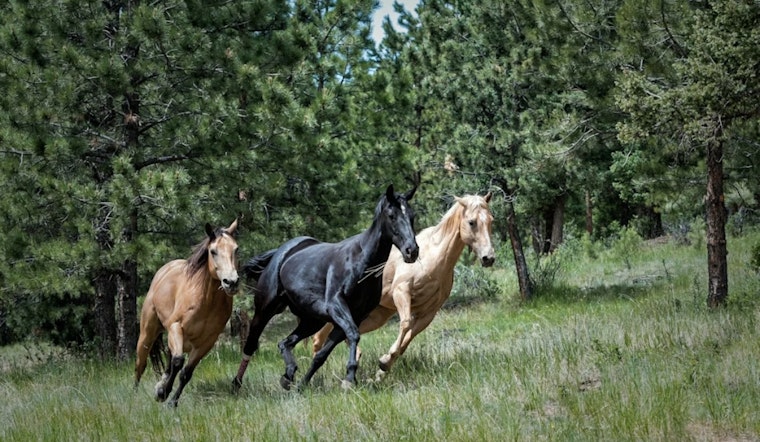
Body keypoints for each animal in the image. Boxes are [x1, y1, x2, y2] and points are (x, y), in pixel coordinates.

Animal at [134, 219, 240, 407]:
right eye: (213, 251)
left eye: (236, 249)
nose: (231, 282)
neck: (206, 301)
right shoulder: (176, 327)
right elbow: (178, 362)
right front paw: (164, 393)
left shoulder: (206, 342)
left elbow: (186, 372)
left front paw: (170, 401)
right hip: (147, 334)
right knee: (141, 364)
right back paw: (134, 396)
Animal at [231, 184, 419, 392]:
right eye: (392, 215)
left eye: (412, 215)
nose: (412, 250)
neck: (361, 262)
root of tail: (281, 252)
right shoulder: (336, 306)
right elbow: (353, 334)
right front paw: (349, 378)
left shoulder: (353, 316)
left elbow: (322, 354)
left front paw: (303, 385)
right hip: (265, 310)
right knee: (250, 344)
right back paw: (236, 384)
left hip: (312, 320)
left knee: (285, 343)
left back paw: (288, 375)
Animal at [312, 193, 494, 379]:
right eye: (471, 222)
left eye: (490, 220)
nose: (488, 258)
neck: (433, 258)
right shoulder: (401, 292)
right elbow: (405, 324)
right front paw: (384, 362)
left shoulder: (429, 312)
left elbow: (409, 337)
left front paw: (384, 365)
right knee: (320, 337)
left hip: (377, 315)